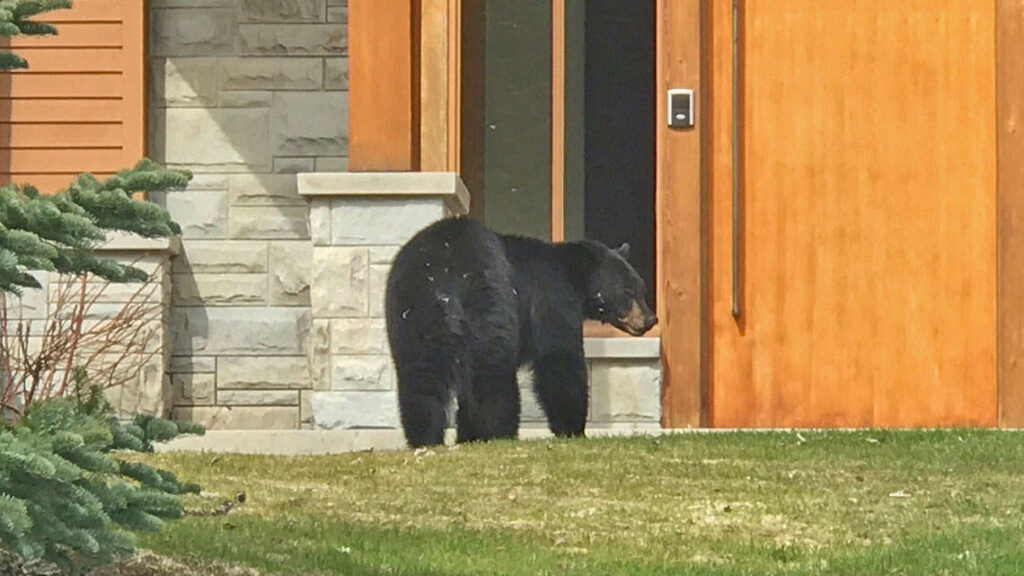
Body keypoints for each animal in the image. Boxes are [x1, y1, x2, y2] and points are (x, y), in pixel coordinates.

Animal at [384, 216, 657, 448]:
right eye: (627, 292)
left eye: (641, 289)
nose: (650, 319)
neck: (575, 279)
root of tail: (443, 274)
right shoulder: (552, 297)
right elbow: (560, 360)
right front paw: (573, 430)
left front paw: (465, 436)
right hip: (488, 302)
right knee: (491, 375)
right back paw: (498, 432)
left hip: (412, 316)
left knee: (421, 379)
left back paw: (425, 437)